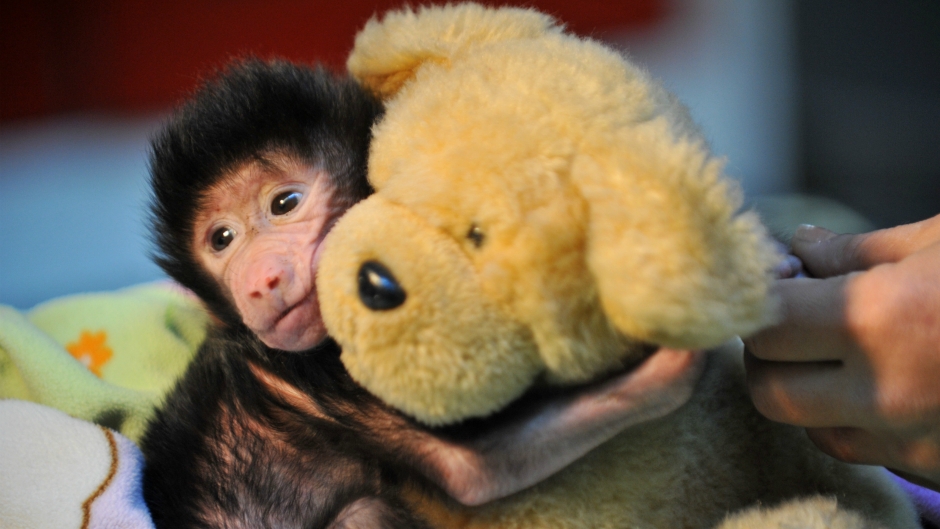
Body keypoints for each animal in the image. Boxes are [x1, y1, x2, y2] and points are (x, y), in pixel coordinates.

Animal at [140, 58, 706, 528]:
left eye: (285, 203)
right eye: (222, 239)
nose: (260, 280)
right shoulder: (310, 374)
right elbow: (473, 469)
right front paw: (674, 361)